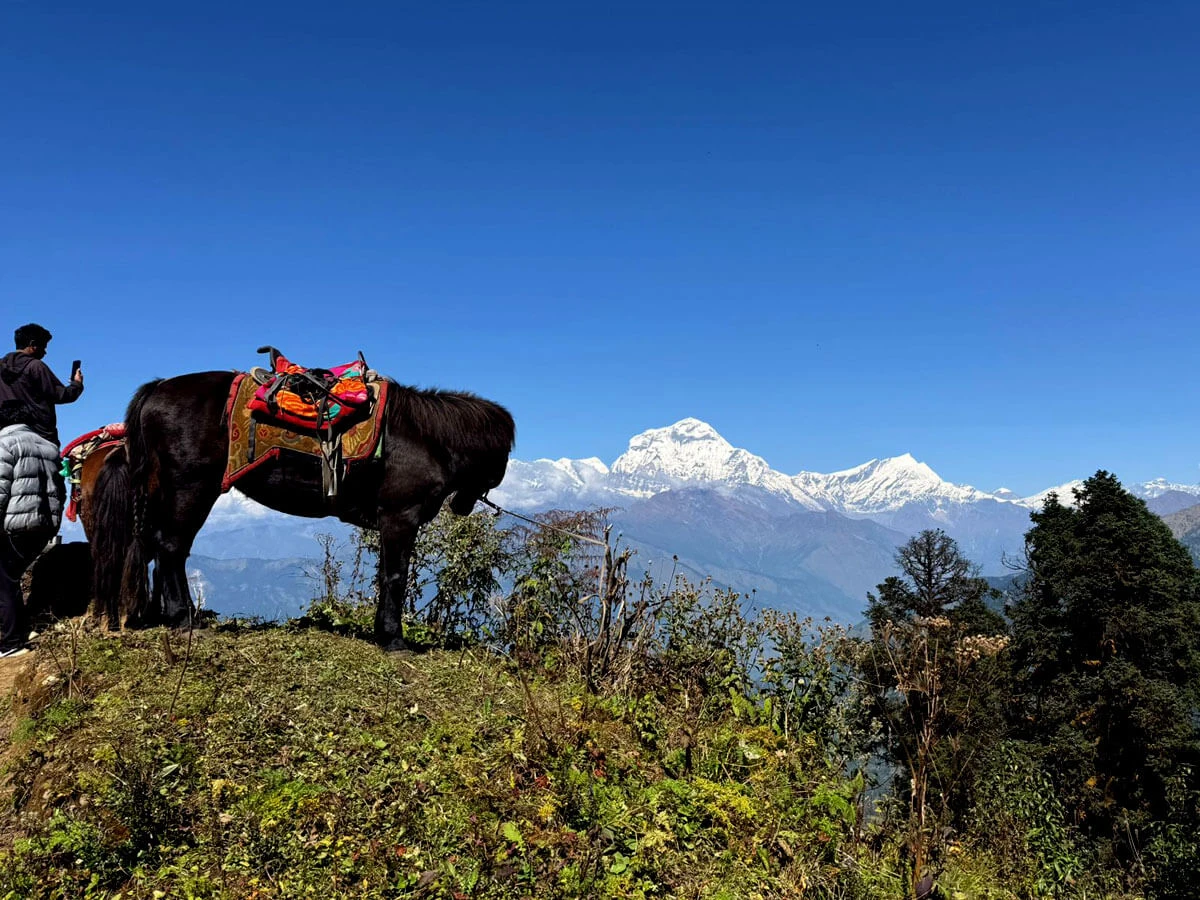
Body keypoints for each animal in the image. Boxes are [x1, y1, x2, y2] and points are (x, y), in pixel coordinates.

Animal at [91, 371, 515, 648]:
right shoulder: (400, 518)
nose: (464, 505)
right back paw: (183, 619)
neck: (425, 437)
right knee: (171, 547)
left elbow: (385, 576)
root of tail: (158, 388)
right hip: (190, 488)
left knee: (150, 546)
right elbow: (395, 577)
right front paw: (394, 639)